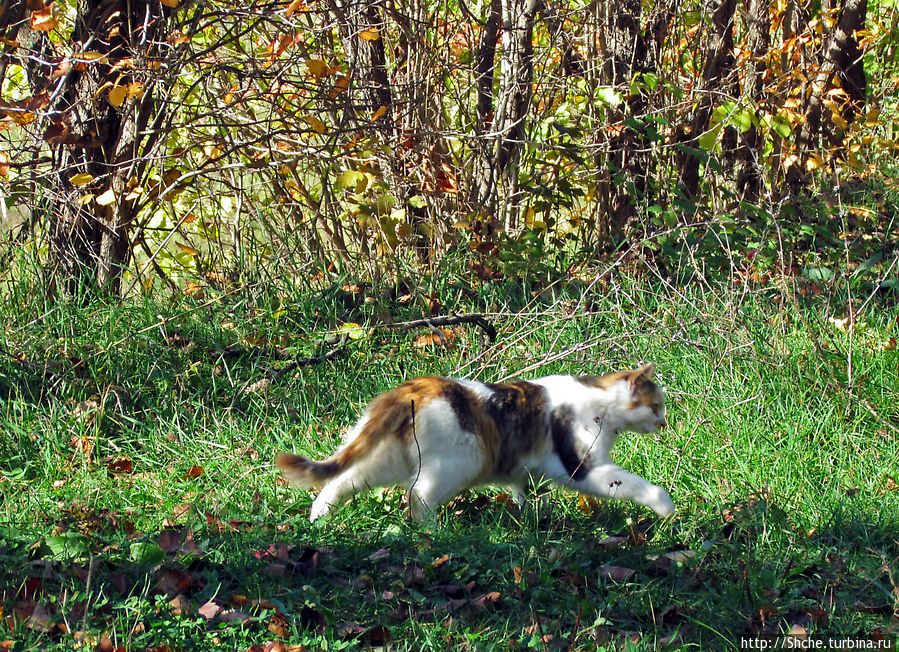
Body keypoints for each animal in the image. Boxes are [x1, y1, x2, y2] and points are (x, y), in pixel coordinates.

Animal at [276, 364, 676, 524]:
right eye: (657, 406)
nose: (664, 422)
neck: (601, 403)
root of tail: (415, 386)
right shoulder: (585, 467)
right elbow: (642, 487)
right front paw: (667, 509)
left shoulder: (530, 471)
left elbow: (525, 494)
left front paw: (531, 520)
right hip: (457, 463)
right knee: (418, 496)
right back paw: (431, 534)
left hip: (389, 459)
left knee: (342, 479)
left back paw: (318, 517)